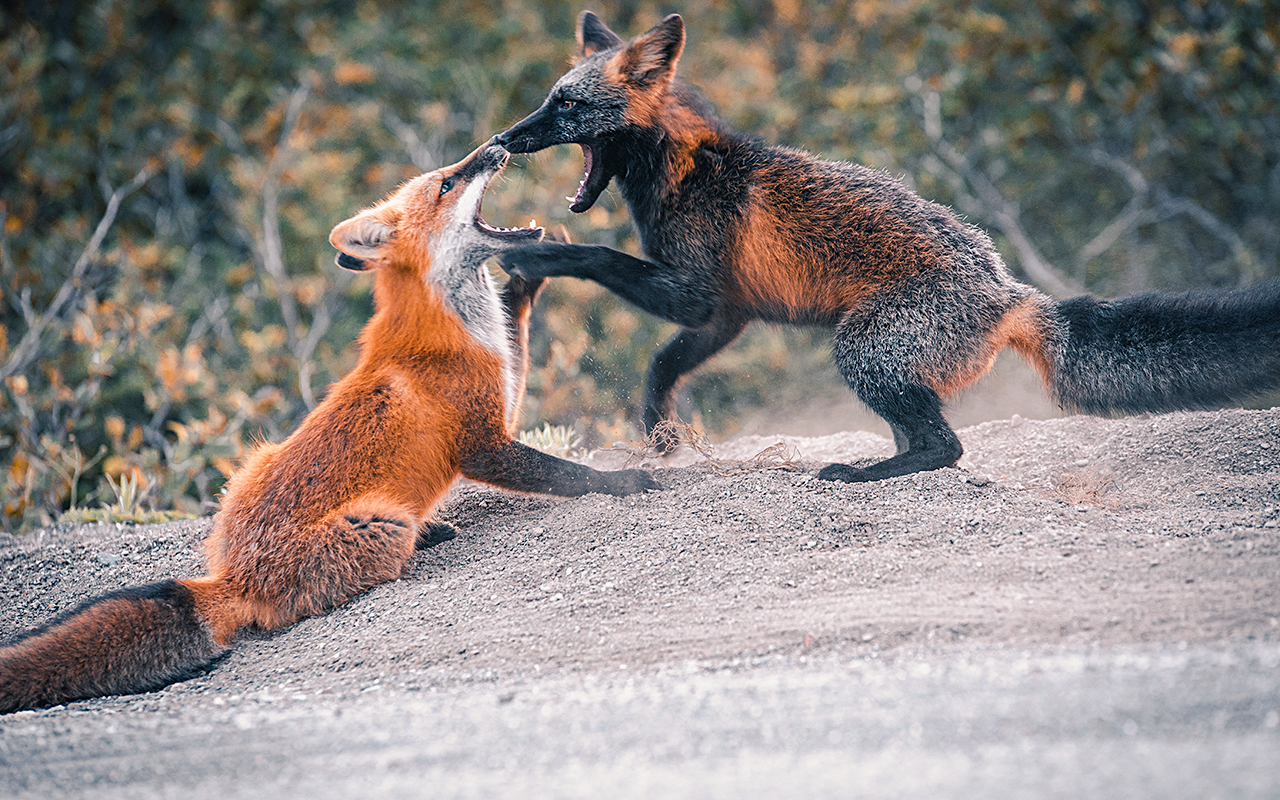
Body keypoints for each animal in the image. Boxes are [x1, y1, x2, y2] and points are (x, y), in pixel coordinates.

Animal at [0, 142, 655, 711]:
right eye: (447, 184)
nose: (498, 144)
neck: (452, 325)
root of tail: (230, 578)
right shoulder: (482, 441)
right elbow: (565, 474)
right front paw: (627, 484)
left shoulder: (499, 386)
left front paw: (528, 278)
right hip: (380, 525)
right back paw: (420, 543)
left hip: (254, 462)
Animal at [494, 12, 1280, 483]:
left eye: (566, 105)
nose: (503, 138)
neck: (684, 168)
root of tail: (1010, 291)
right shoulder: (726, 315)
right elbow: (661, 368)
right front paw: (660, 437)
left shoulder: (695, 293)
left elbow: (599, 258)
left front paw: (534, 257)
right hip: (881, 361)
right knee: (924, 439)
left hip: (861, 351)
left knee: (945, 448)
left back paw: (863, 474)